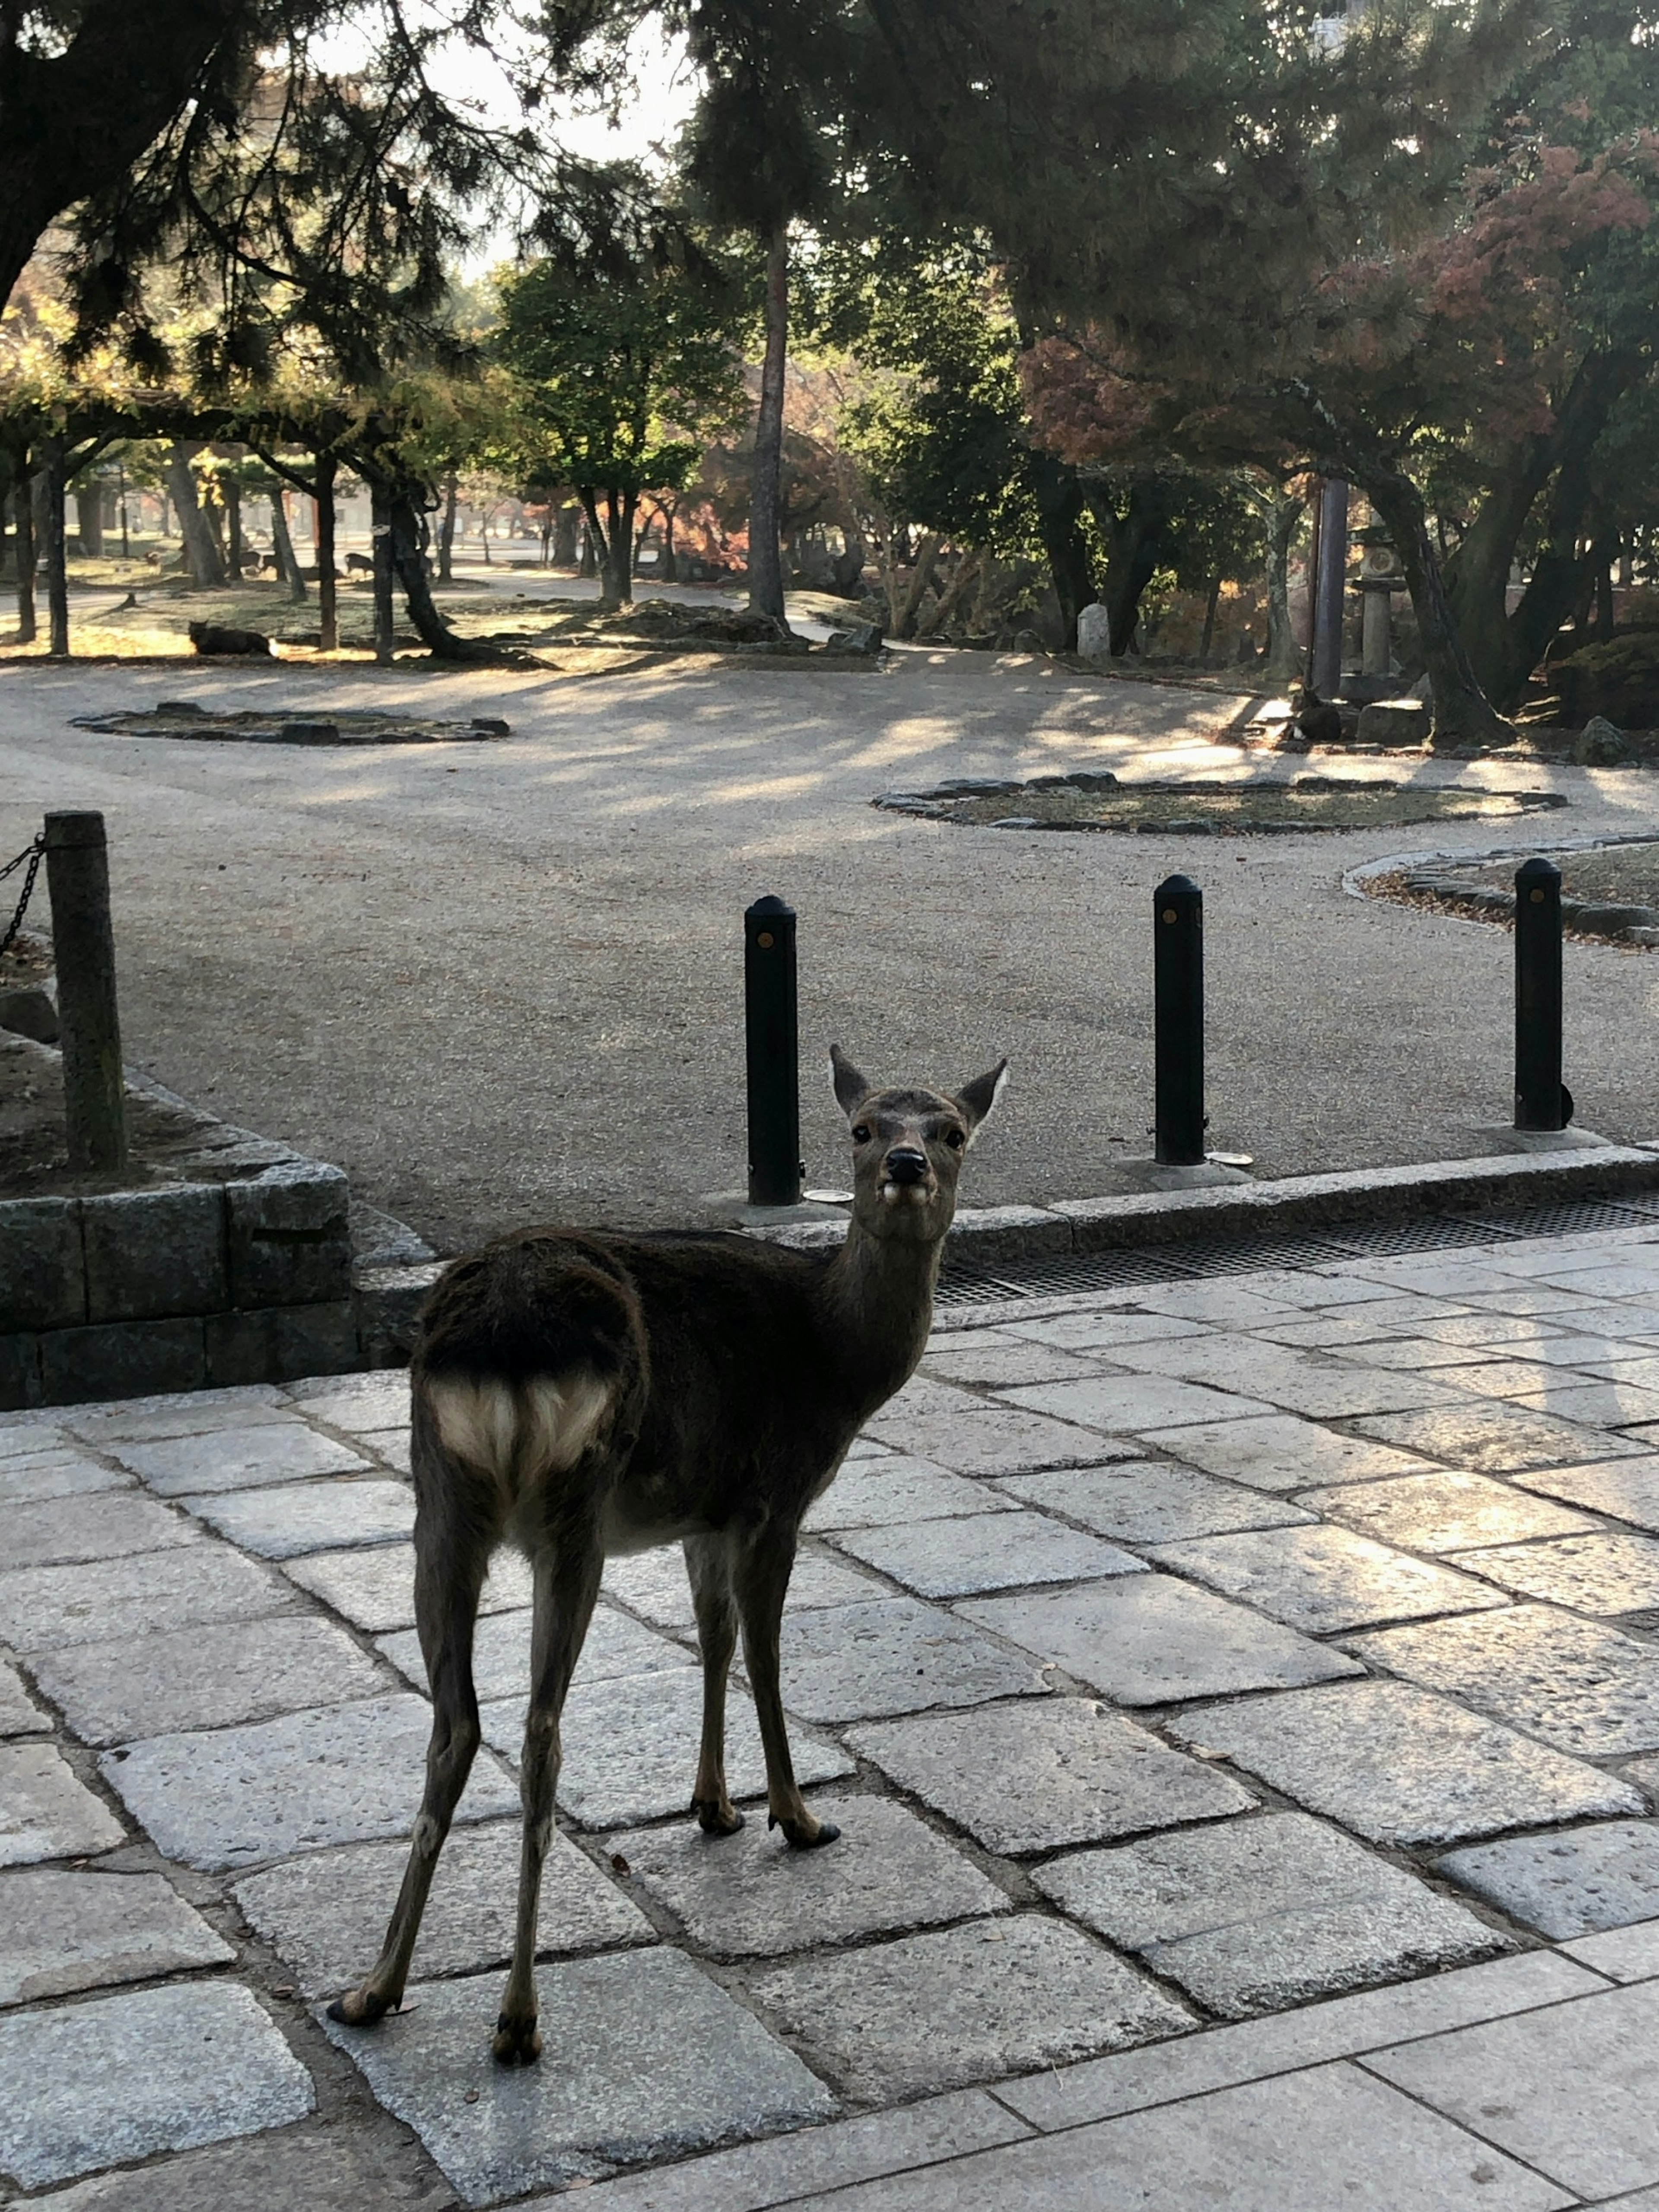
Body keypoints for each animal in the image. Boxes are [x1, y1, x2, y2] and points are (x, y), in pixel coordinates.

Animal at [323, 1044, 1000, 2061]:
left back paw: (374, 1988)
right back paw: (517, 2018)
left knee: (455, 1722)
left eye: (953, 1129)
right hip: (575, 1514)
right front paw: (797, 1815)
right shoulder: (775, 1494)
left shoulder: (702, 1513)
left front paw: (714, 1806)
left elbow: (711, 1640)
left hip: (437, 1501)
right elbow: (763, 1651)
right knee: (540, 1729)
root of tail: (500, 1337)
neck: (839, 1361)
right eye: (862, 1126)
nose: (908, 1165)